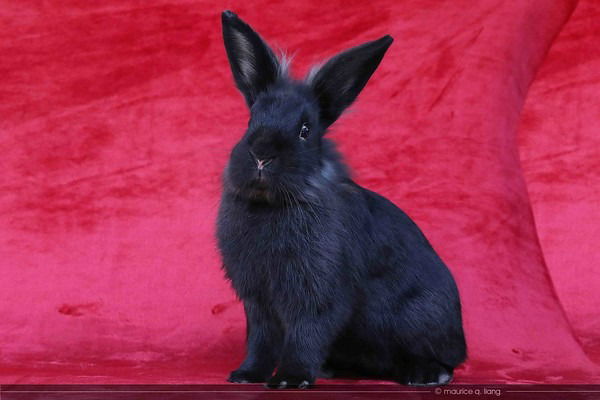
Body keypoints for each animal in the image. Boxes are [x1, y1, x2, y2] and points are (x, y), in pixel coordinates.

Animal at [217, 10, 468, 390]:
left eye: (305, 131)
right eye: (251, 120)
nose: (261, 156)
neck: (272, 204)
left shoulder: (318, 295)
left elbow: (305, 335)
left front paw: (290, 379)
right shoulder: (258, 302)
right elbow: (260, 341)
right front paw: (246, 375)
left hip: (420, 319)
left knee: (439, 358)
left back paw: (425, 375)